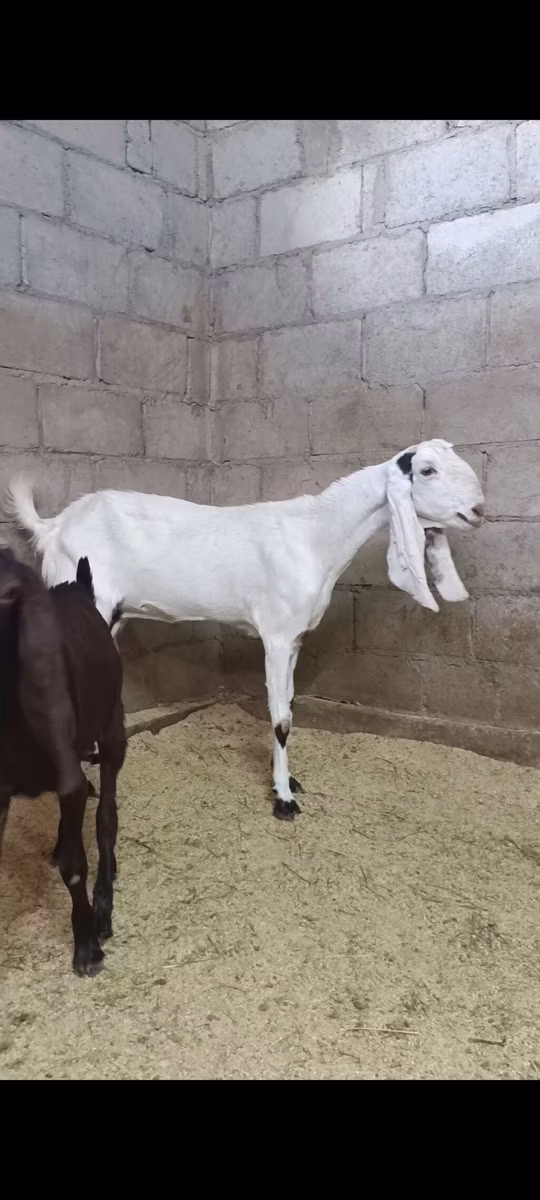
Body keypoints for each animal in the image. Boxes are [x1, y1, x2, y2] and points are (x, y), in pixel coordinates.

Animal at [0, 549, 126, 975]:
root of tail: (79, 589)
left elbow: (76, 867)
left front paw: (87, 945)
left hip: (113, 728)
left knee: (106, 818)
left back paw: (103, 906)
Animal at [6, 439, 484, 821]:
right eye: (426, 470)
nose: (478, 511)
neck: (316, 537)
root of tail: (53, 527)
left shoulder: (294, 639)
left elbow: (289, 705)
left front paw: (288, 781)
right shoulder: (275, 634)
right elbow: (281, 720)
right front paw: (285, 801)